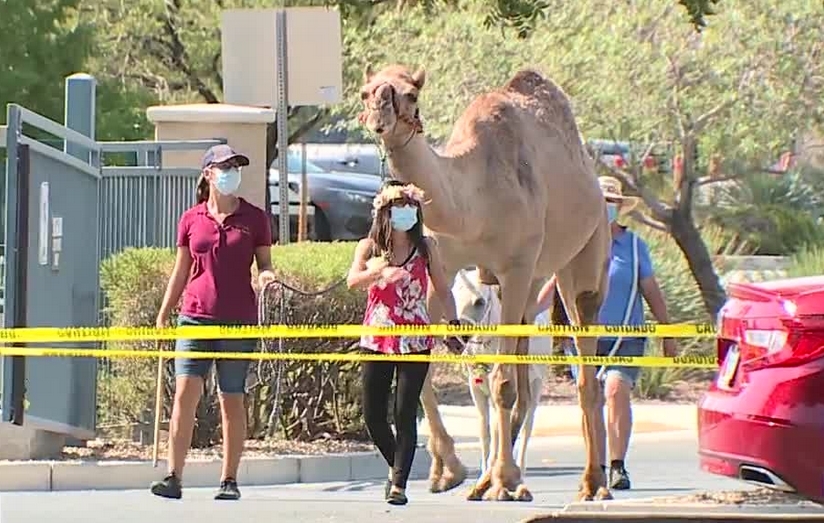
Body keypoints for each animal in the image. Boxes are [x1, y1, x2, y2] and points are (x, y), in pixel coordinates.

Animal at [450, 268, 552, 482]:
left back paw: (520, 470)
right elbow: (486, 431)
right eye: (453, 295)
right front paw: (484, 473)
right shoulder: (477, 390)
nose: (454, 340)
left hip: (537, 384)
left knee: (527, 426)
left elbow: (499, 430)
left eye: (479, 301)